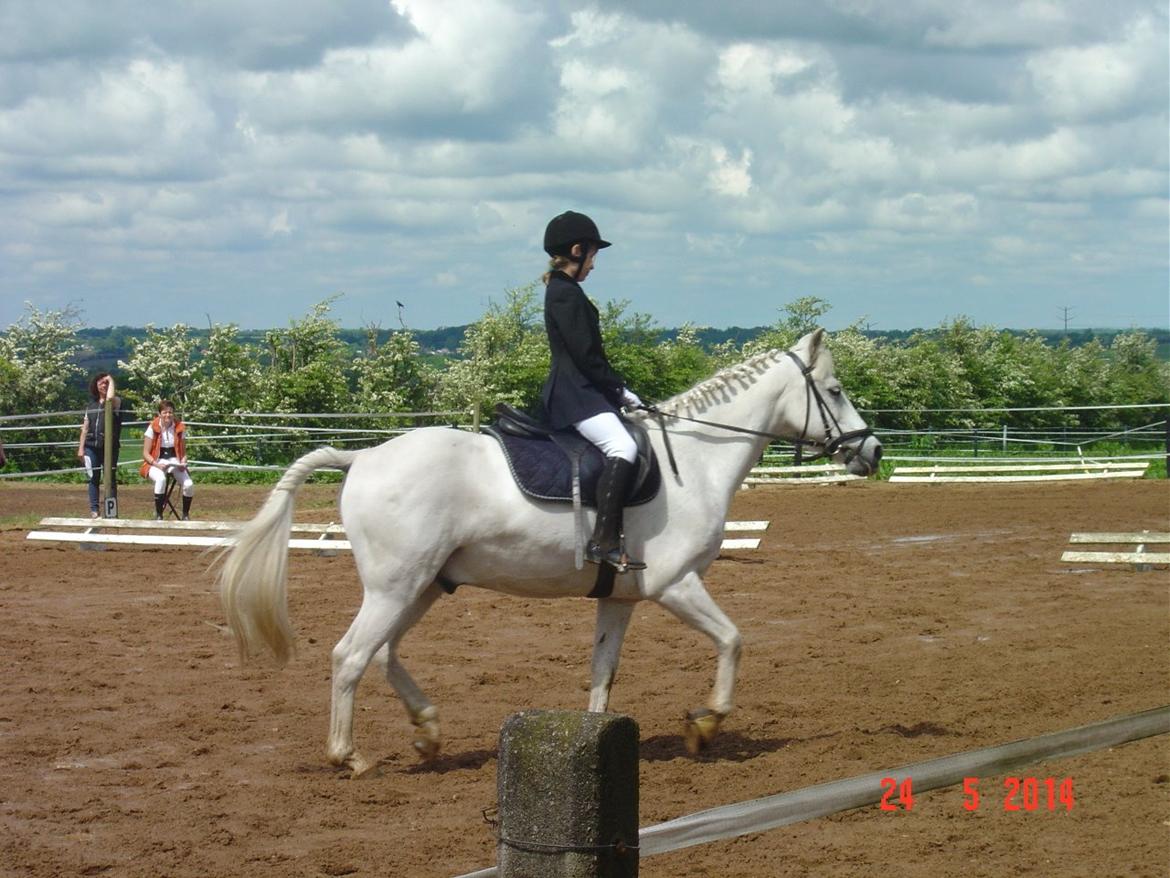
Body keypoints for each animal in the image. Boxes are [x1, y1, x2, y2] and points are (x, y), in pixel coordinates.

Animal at [219, 332, 879, 777]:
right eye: (835, 391)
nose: (870, 452)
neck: (694, 460)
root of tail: (363, 458)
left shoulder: (622, 596)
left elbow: (603, 671)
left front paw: (596, 743)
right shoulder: (675, 584)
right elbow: (733, 640)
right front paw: (706, 724)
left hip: (424, 585)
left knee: (383, 654)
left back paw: (428, 732)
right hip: (395, 586)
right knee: (351, 656)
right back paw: (349, 757)